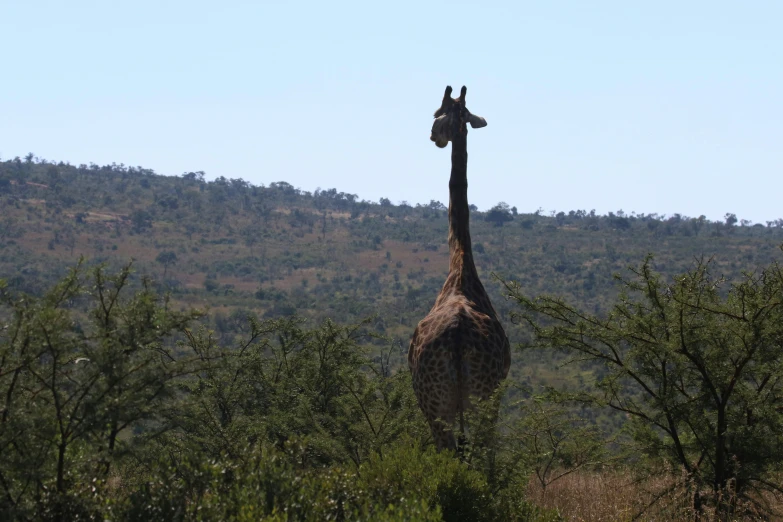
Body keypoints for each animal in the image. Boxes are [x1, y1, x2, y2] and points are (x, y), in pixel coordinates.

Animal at [408, 84, 512, 446]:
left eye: (437, 113)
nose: (433, 136)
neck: (460, 264)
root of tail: (456, 337)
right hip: (472, 401)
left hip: (441, 406)